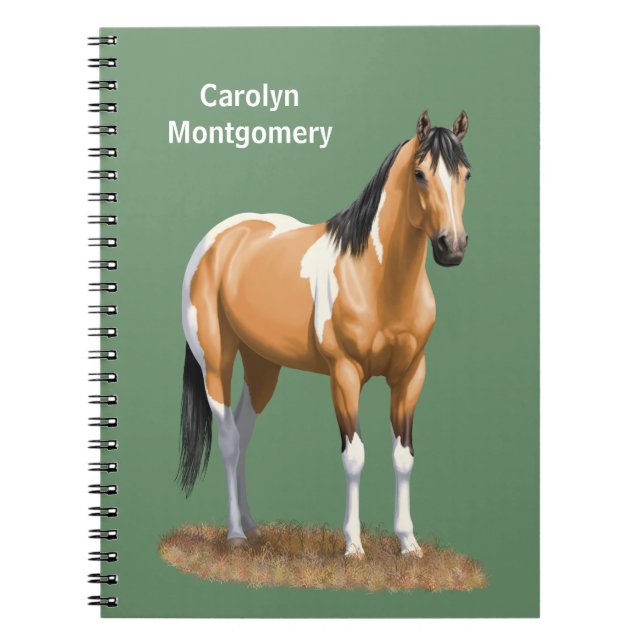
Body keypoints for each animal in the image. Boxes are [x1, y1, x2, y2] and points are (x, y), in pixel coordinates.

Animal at [179, 109, 471, 557]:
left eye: (466, 174)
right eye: (420, 173)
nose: (451, 246)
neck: (375, 276)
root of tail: (217, 240)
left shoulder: (410, 375)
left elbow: (403, 456)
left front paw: (409, 544)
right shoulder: (345, 374)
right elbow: (355, 456)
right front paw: (353, 546)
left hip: (262, 365)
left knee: (244, 435)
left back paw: (253, 528)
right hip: (215, 362)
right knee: (229, 438)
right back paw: (235, 536)